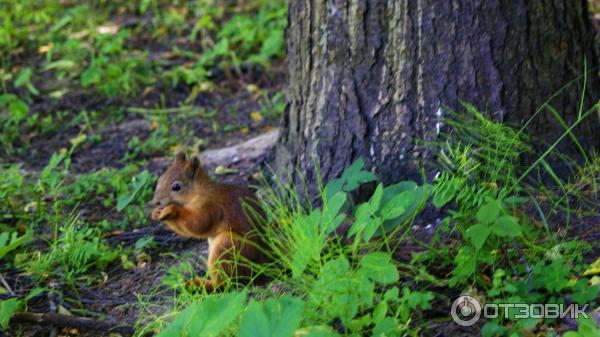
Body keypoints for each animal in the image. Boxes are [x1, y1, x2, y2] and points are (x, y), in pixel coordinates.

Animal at [151, 153, 268, 292]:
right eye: (160, 179)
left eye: (176, 187)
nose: (156, 202)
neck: (199, 192)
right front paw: (156, 213)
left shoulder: (210, 207)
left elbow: (197, 225)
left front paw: (172, 210)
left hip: (227, 247)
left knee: (226, 283)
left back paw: (200, 284)